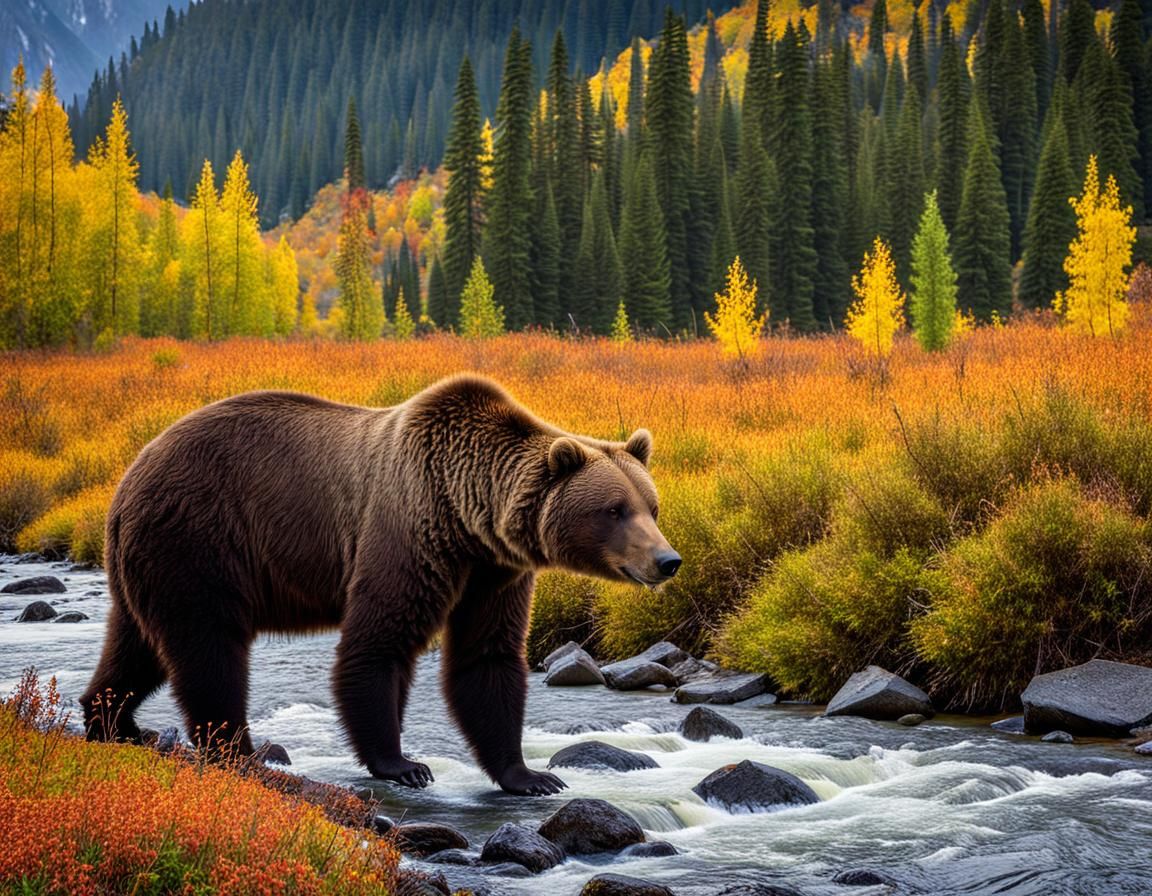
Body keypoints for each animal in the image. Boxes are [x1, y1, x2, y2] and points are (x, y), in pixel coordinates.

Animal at [81, 374, 680, 795]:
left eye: (651, 505)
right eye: (614, 509)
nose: (668, 560)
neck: (466, 514)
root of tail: (125, 481)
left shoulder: (493, 573)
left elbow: (487, 658)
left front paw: (529, 774)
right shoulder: (408, 530)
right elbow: (379, 642)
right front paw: (403, 764)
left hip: (151, 565)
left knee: (136, 646)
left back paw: (112, 721)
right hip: (199, 540)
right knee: (209, 649)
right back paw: (236, 749)